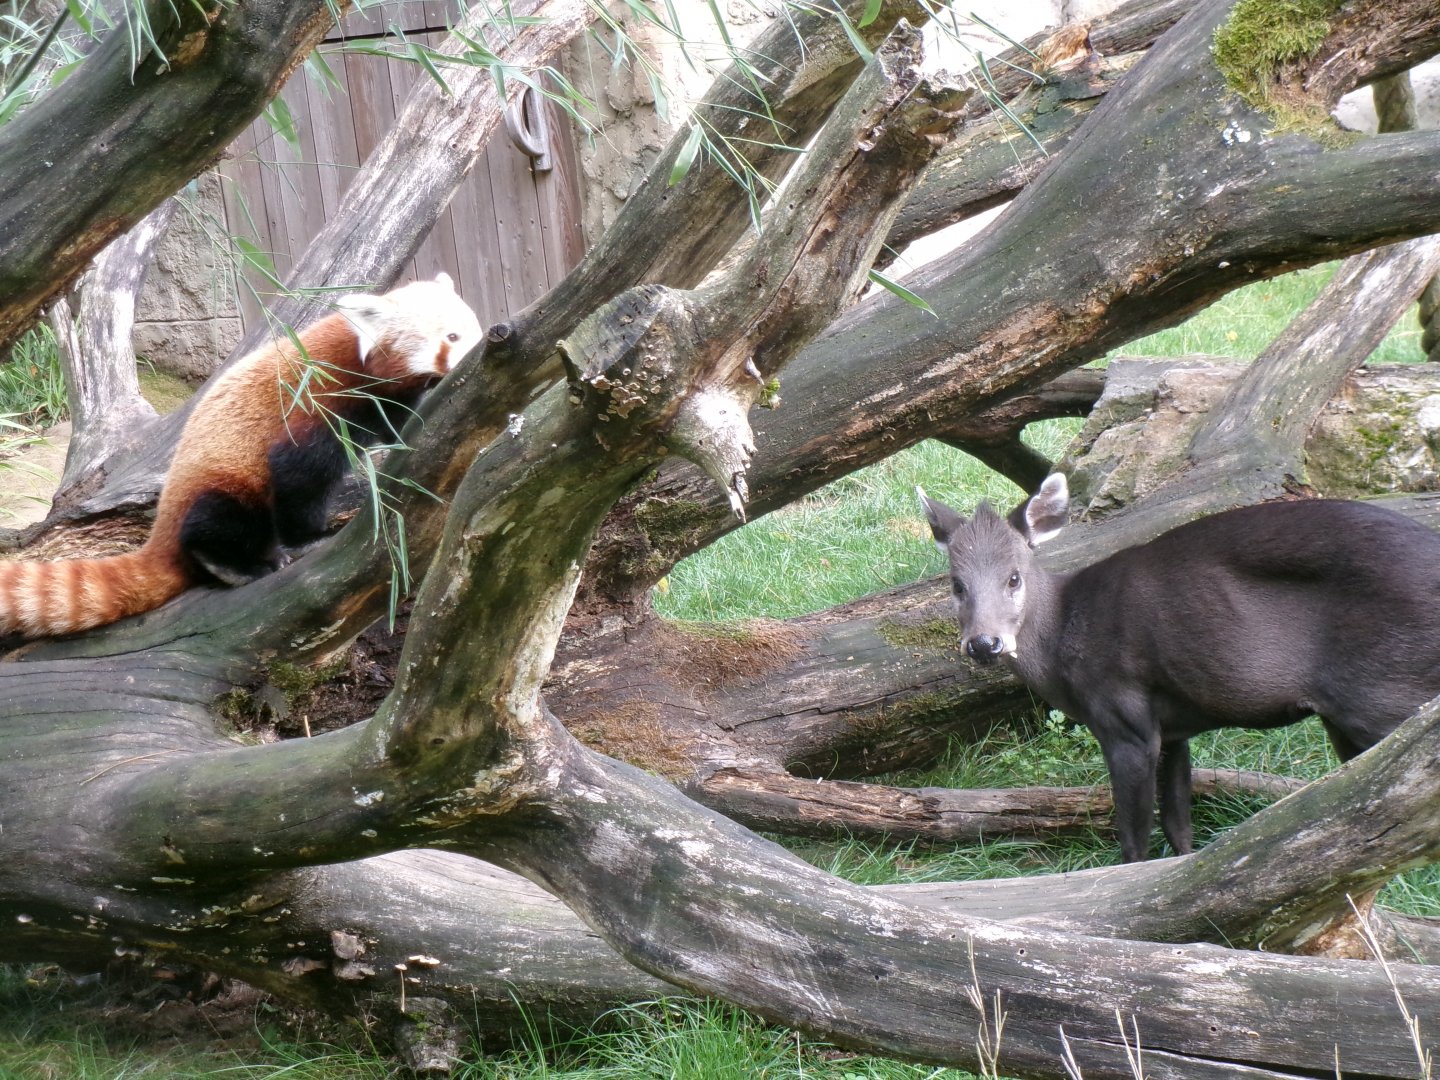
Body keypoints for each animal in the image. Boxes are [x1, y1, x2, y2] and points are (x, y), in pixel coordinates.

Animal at [918, 474, 1440, 862]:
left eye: (1014, 578)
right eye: (956, 584)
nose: (984, 643)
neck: (1064, 635)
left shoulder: (1124, 717)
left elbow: (1134, 841)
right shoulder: (1173, 726)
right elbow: (1179, 828)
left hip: (1385, 693)